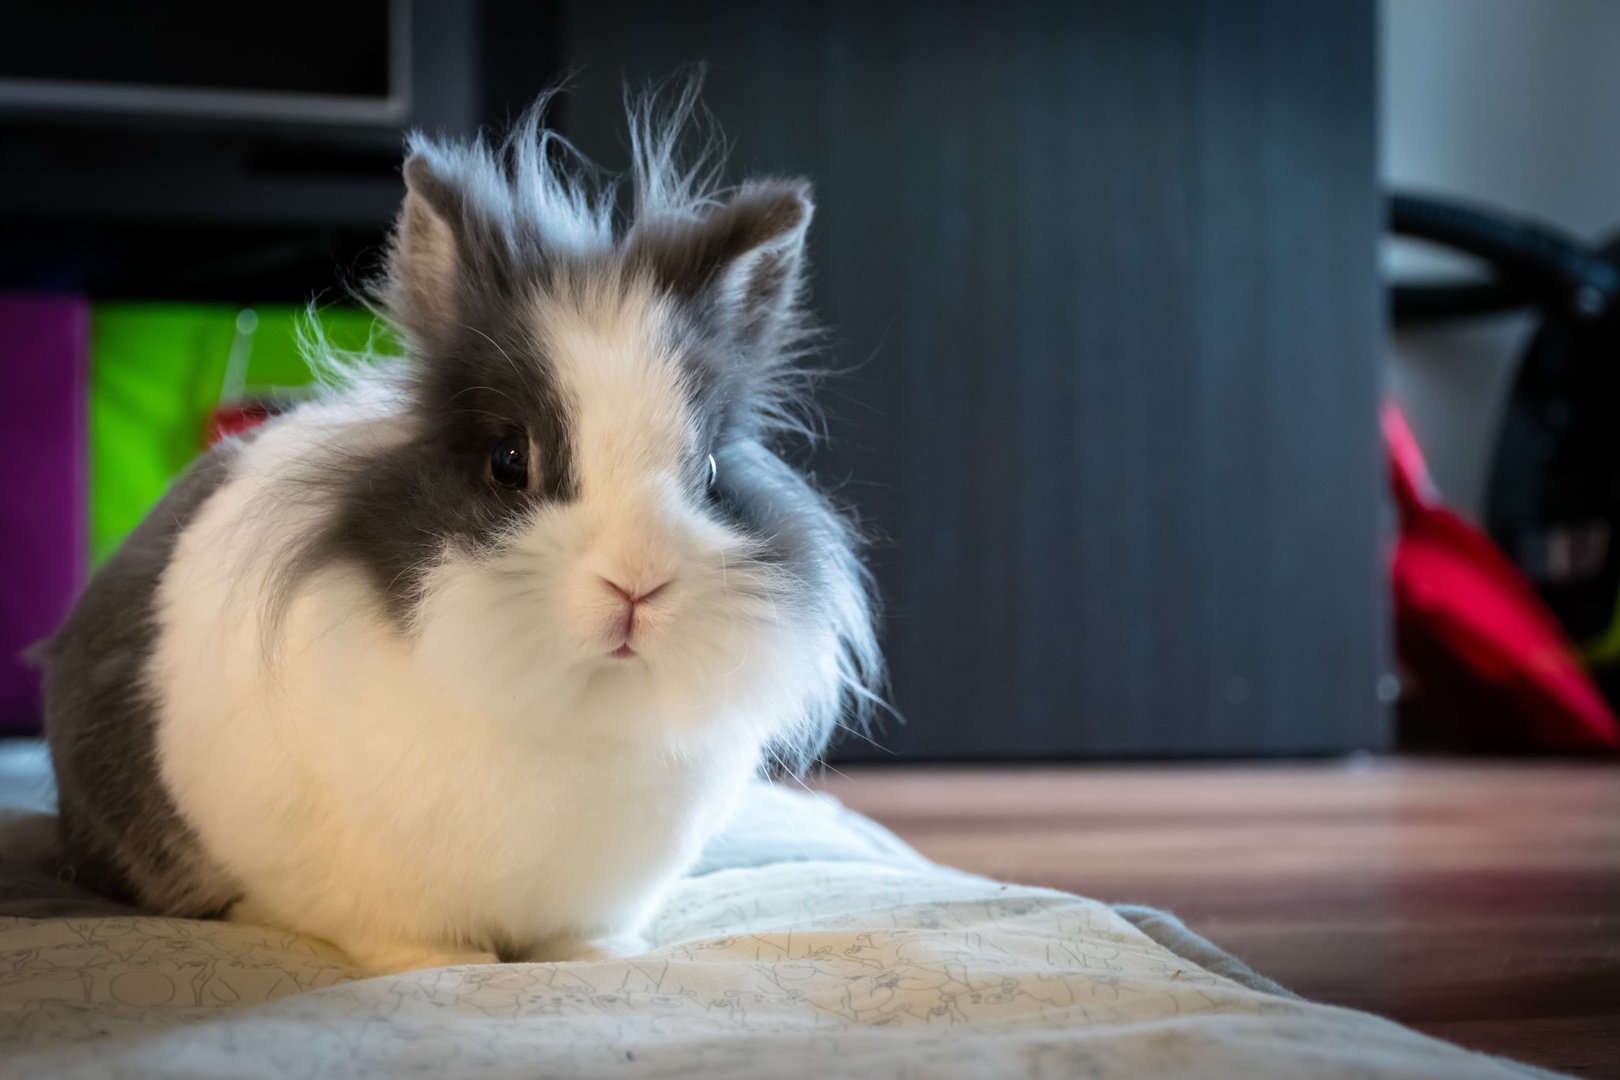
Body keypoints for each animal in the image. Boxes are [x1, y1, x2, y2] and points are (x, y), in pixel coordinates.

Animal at [42, 85, 882, 975]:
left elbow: (578, 939)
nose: (637, 583)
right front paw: (440, 970)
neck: (572, 706)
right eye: (508, 461)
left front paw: (603, 960)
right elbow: (423, 948)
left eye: (714, 475)